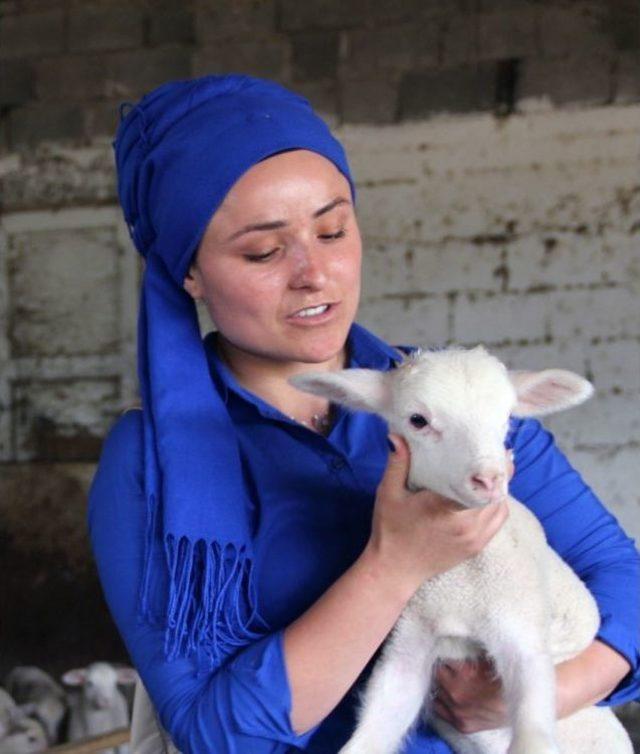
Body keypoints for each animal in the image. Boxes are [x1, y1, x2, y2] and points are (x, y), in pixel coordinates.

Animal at [292, 346, 636, 752]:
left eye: (507, 417)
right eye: (418, 420)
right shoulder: (411, 641)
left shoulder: (523, 634)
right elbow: (374, 730)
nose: (489, 479)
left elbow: (533, 733)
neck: (462, 585)